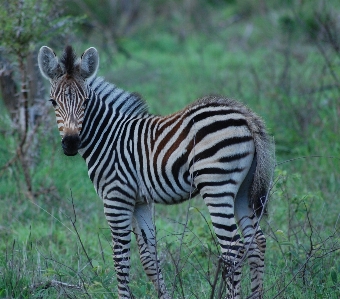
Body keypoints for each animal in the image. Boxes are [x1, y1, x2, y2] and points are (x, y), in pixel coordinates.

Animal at [38, 45, 274, 299]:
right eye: (53, 102)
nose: (71, 143)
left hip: (216, 186)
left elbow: (120, 258)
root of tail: (245, 115)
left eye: (85, 102)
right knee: (256, 241)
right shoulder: (140, 201)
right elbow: (149, 257)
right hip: (243, 188)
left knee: (233, 248)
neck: (108, 137)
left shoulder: (116, 197)